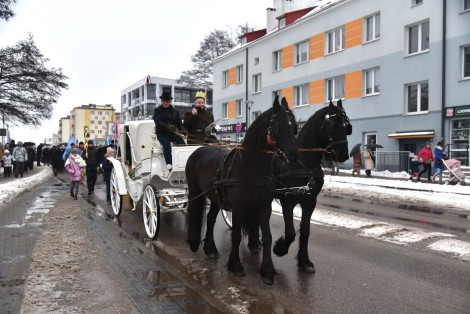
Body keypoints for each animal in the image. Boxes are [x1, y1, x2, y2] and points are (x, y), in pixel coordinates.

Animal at [186, 95, 298, 284]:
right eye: (278, 125)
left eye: (294, 125)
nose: (293, 155)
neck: (249, 169)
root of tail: (199, 149)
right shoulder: (238, 209)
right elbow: (236, 236)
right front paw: (235, 266)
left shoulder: (264, 207)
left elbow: (267, 237)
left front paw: (267, 270)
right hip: (195, 191)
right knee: (195, 213)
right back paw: (194, 242)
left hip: (215, 197)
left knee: (210, 219)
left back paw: (210, 249)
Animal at [270, 100, 350, 272]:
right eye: (333, 124)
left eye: (346, 126)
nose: (344, 155)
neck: (304, 164)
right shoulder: (287, 200)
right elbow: (291, 233)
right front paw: (279, 248)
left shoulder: (310, 201)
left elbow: (305, 231)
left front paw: (304, 261)